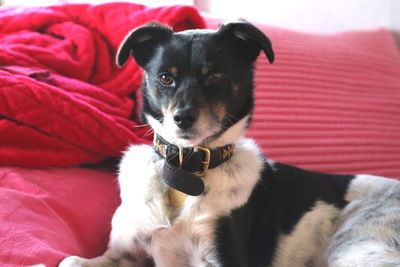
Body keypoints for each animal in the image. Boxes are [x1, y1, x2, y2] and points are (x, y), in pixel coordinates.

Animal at [59, 22, 400, 266]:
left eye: (216, 76)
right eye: (166, 77)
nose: (183, 118)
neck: (186, 169)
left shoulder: (223, 255)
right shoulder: (124, 252)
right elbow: (70, 260)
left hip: (356, 245)